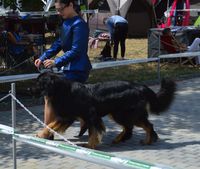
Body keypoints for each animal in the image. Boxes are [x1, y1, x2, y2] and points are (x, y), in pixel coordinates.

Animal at [30, 72, 175, 149]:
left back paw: (147, 140)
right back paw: (124, 139)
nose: (28, 90)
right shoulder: (67, 116)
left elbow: (94, 131)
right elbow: (50, 125)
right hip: (119, 113)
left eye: (38, 83)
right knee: (132, 128)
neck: (62, 90)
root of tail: (140, 86)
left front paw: (90, 145)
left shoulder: (90, 116)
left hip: (123, 113)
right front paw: (42, 134)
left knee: (142, 126)